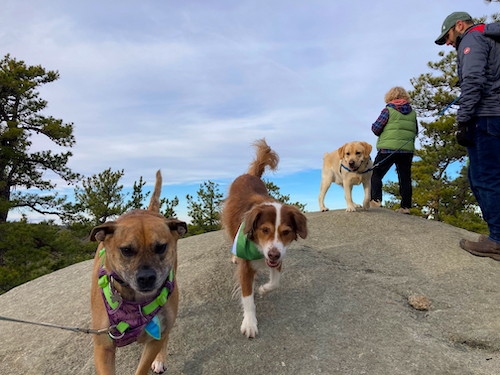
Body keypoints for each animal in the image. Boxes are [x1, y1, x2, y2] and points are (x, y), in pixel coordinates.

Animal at [89, 171, 186, 375]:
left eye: (161, 247)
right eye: (126, 250)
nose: (146, 278)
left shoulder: (155, 338)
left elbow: (143, 366)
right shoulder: (103, 348)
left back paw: (160, 359)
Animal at [224, 141, 308, 340]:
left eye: (286, 232)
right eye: (264, 230)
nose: (273, 254)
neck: (260, 250)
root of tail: (250, 174)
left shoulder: (279, 256)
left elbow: (275, 283)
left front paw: (263, 289)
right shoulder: (246, 266)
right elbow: (247, 297)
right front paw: (249, 323)